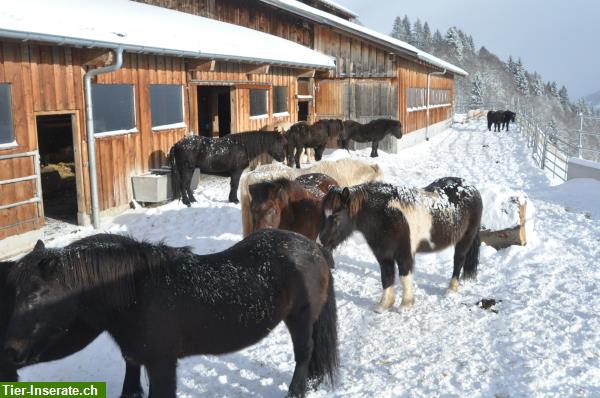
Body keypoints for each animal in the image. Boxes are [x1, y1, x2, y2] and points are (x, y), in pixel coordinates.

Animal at [318, 178, 482, 314]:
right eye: (324, 215)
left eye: (336, 217)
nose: (320, 243)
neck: (386, 216)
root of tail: (472, 188)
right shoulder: (384, 256)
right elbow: (386, 278)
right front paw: (384, 305)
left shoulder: (404, 255)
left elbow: (404, 278)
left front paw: (405, 305)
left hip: (465, 240)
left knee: (458, 261)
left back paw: (451, 289)